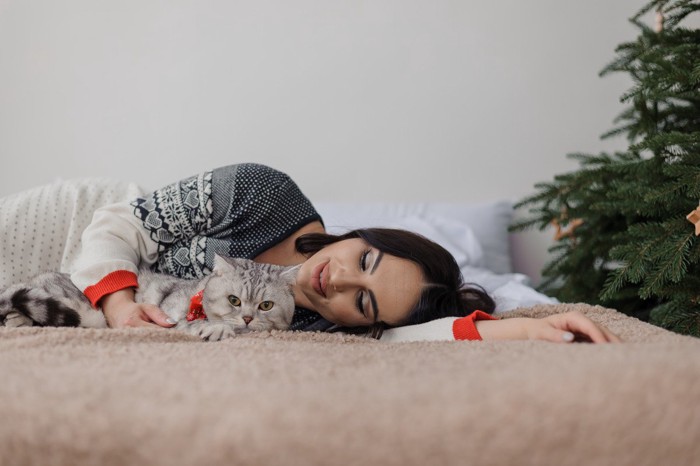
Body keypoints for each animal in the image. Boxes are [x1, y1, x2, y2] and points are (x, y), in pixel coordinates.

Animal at [0, 256, 298, 340]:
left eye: (266, 305)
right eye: (234, 300)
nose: (247, 318)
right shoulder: (169, 317)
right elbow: (191, 324)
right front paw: (215, 329)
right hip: (80, 310)